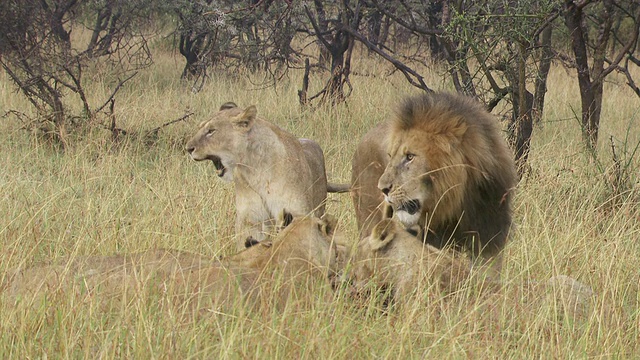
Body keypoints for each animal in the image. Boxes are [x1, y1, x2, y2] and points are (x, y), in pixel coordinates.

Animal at [185, 102, 348, 250]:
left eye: (211, 131)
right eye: (201, 127)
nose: (188, 148)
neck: (255, 169)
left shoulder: (296, 212)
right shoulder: (250, 218)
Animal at [352, 92, 516, 272]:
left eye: (410, 156)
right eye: (390, 156)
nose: (383, 189)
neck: (461, 201)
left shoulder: (490, 239)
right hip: (369, 217)